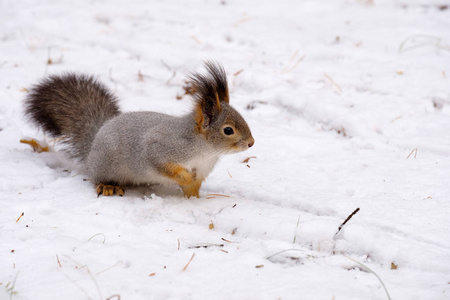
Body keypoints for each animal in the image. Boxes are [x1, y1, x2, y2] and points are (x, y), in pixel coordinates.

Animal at [25, 62, 253, 198]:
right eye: (228, 130)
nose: (251, 143)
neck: (205, 150)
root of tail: (93, 144)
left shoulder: (203, 169)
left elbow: (193, 188)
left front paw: (195, 198)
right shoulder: (159, 148)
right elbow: (163, 166)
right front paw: (184, 177)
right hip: (107, 164)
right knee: (97, 177)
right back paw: (108, 185)